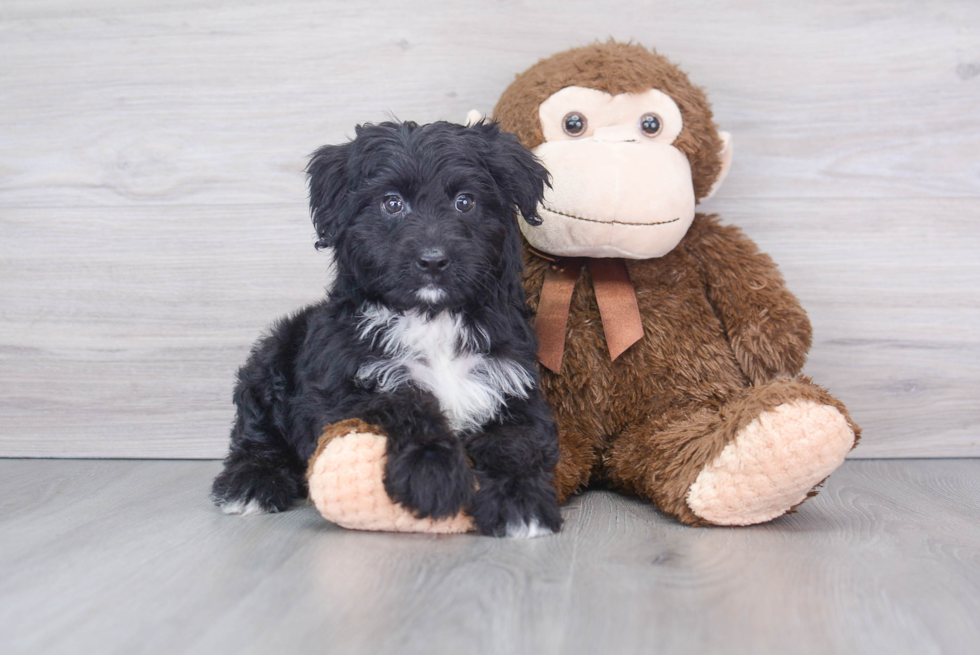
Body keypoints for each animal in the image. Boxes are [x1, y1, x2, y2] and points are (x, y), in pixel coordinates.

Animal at [212, 119, 568, 540]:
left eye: (465, 202)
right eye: (392, 203)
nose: (433, 260)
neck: (432, 317)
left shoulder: (512, 385)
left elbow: (516, 442)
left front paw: (520, 501)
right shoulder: (344, 387)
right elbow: (403, 403)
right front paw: (432, 473)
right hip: (275, 354)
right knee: (255, 433)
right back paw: (250, 484)